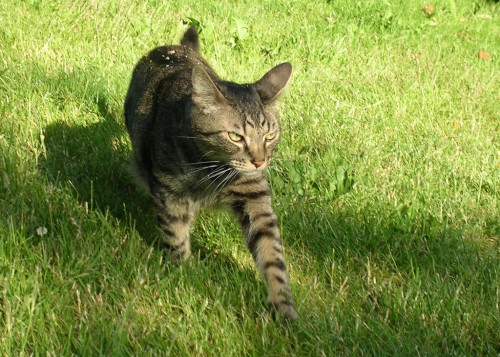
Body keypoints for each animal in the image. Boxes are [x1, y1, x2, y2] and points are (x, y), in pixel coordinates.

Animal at [124, 26, 296, 318]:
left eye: (270, 135)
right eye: (235, 137)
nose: (260, 161)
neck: (213, 171)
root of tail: (177, 48)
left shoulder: (255, 198)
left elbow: (271, 254)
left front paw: (284, 307)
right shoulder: (170, 193)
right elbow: (176, 236)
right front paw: (184, 277)